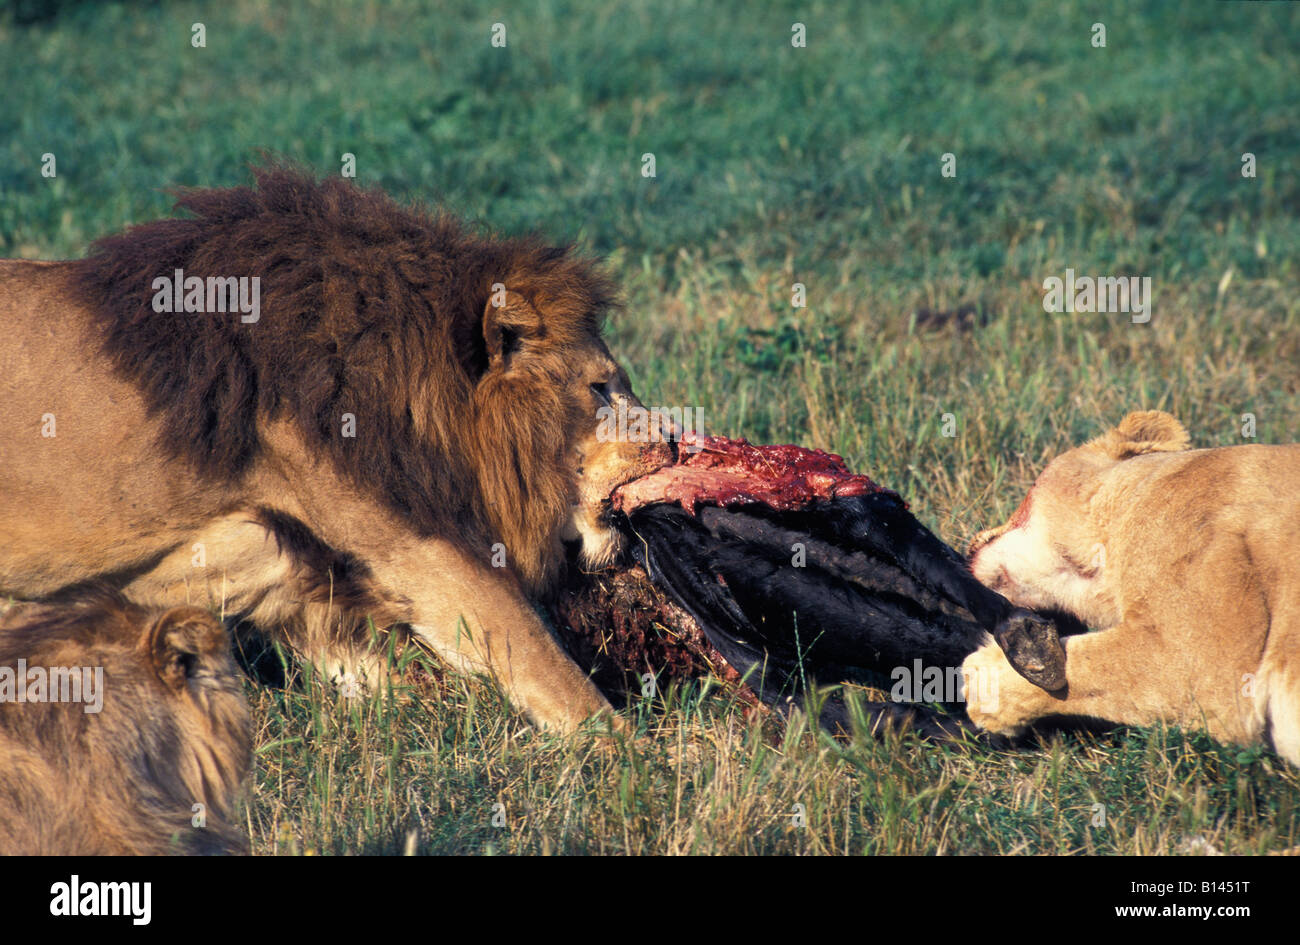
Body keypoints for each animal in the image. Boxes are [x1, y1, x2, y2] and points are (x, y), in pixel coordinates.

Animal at [0, 166, 670, 733]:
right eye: (600, 388)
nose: (670, 439)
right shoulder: (420, 548)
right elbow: (549, 669)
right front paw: (643, 761)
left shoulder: (299, 579)